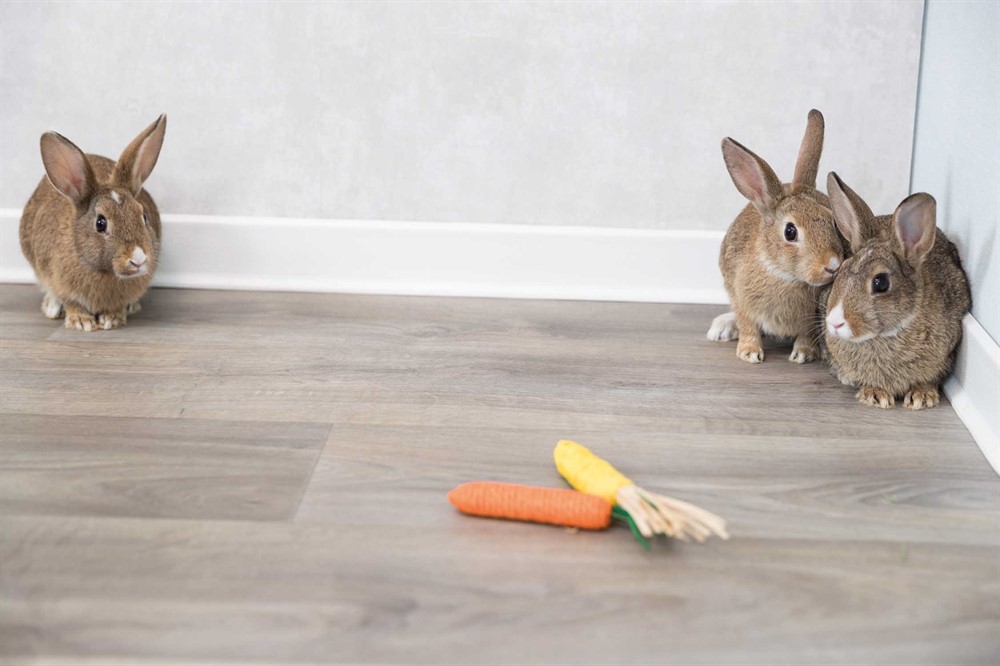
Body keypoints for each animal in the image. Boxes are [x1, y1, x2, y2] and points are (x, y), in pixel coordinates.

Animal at [19, 115, 167, 331]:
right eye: (101, 223)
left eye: (144, 216)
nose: (138, 258)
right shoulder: (59, 281)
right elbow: (71, 302)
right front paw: (82, 322)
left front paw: (112, 319)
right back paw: (52, 307)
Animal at [708, 110, 844, 364]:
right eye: (790, 232)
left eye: (833, 221)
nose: (832, 265)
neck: (785, 275)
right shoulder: (743, 301)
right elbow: (748, 326)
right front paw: (749, 353)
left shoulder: (811, 320)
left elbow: (806, 335)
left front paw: (804, 354)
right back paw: (722, 328)